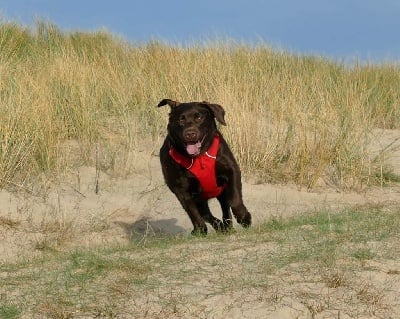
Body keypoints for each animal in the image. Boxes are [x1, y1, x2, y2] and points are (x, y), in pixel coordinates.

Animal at [156, 99, 250, 236]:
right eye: (180, 120)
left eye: (199, 117)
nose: (190, 134)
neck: (199, 157)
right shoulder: (181, 190)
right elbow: (193, 213)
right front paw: (200, 230)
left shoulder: (232, 171)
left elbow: (235, 199)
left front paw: (244, 218)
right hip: (199, 199)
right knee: (206, 215)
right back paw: (217, 228)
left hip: (221, 192)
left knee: (225, 209)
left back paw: (228, 227)